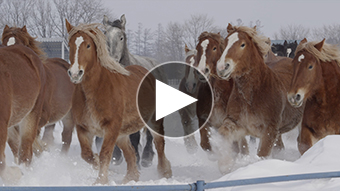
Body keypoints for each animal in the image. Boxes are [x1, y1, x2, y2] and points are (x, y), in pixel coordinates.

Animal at [1, 24, 75, 155]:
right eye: (3, 44)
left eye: (20, 45)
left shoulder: (40, 115)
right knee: (50, 134)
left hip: (69, 115)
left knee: (66, 136)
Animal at [65, 20, 173, 184]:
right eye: (70, 44)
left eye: (88, 45)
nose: (75, 73)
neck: (96, 89)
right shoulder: (84, 128)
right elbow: (87, 155)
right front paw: (98, 167)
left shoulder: (111, 128)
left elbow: (105, 154)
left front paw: (101, 181)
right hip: (122, 134)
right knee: (130, 152)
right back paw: (130, 178)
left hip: (153, 122)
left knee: (158, 144)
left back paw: (164, 172)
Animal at [215, 24, 302, 172]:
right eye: (225, 43)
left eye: (242, 44)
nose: (222, 67)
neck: (252, 95)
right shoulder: (237, 124)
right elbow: (224, 133)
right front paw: (225, 165)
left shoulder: (269, 131)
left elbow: (262, 154)